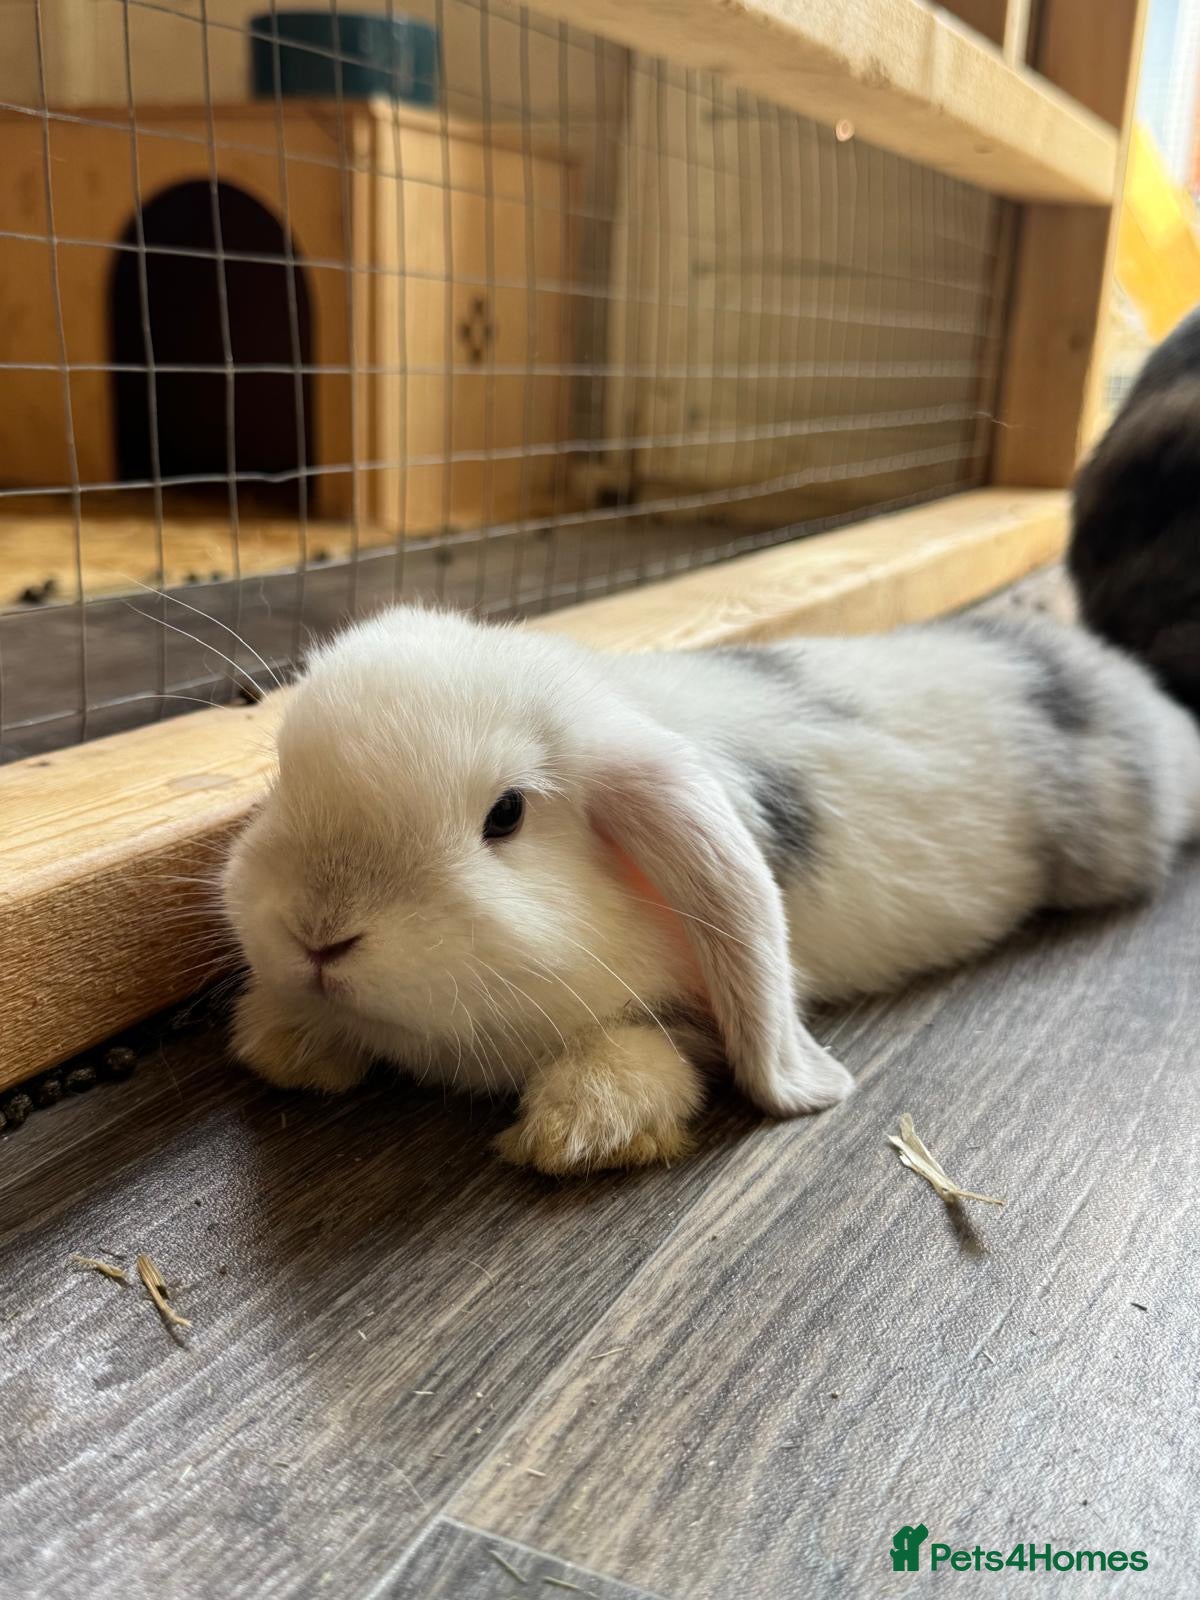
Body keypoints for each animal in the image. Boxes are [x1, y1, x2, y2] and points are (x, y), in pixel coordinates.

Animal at [222, 602, 1200, 1174]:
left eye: (505, 815)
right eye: (283, 774)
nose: (318, 935)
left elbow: (653, 1053)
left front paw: (574, 1132)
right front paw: (286, 1045)